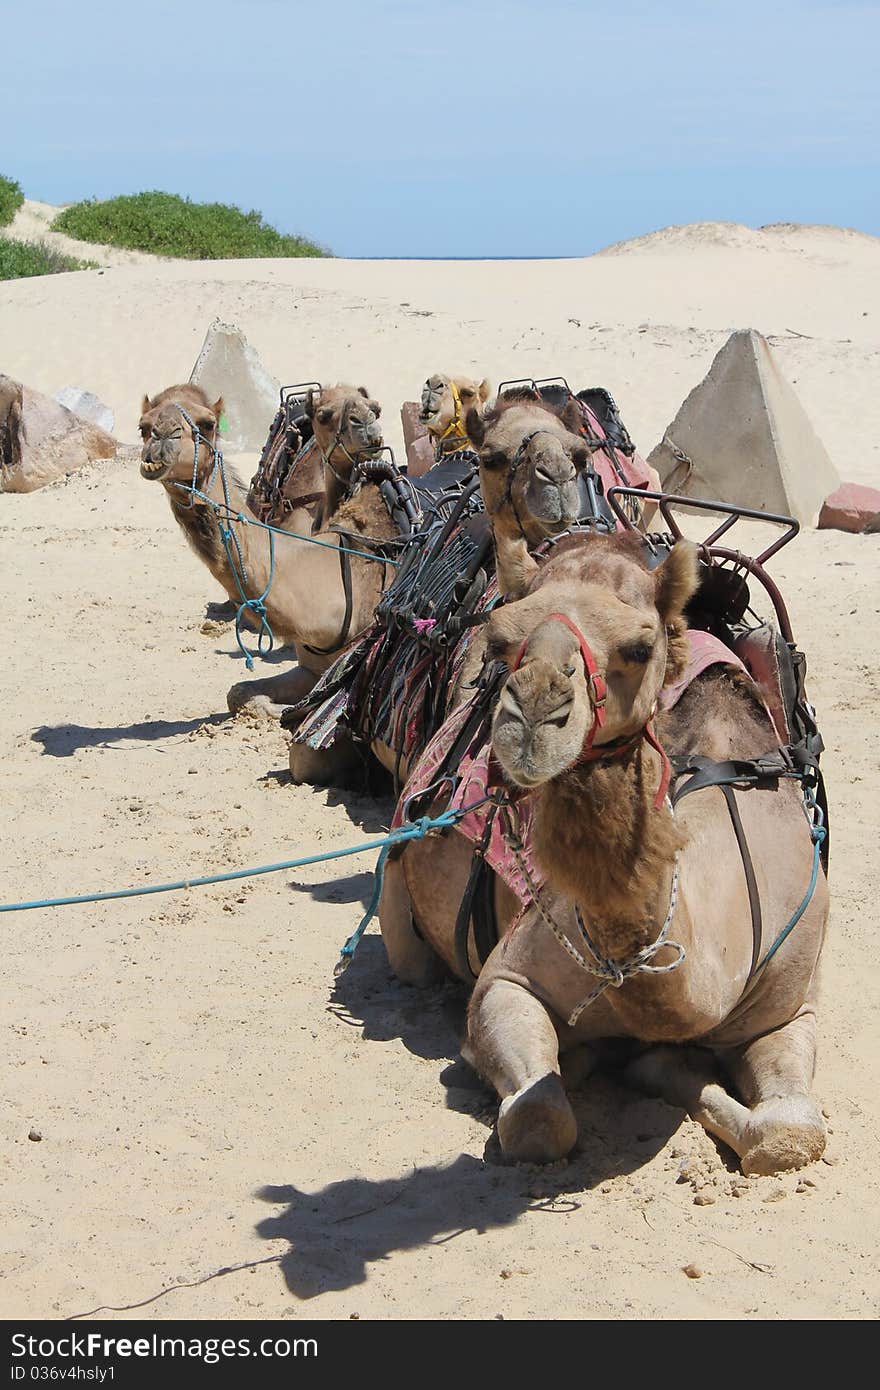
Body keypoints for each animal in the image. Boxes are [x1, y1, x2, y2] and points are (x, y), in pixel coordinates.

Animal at [378, 528, 828, 1173]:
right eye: (501, 638)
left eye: (640, 647)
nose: (535, 714)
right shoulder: (509, 978)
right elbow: (540, 1119)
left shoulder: (792, 1003)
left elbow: (790, 1134)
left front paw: (658, 1064)